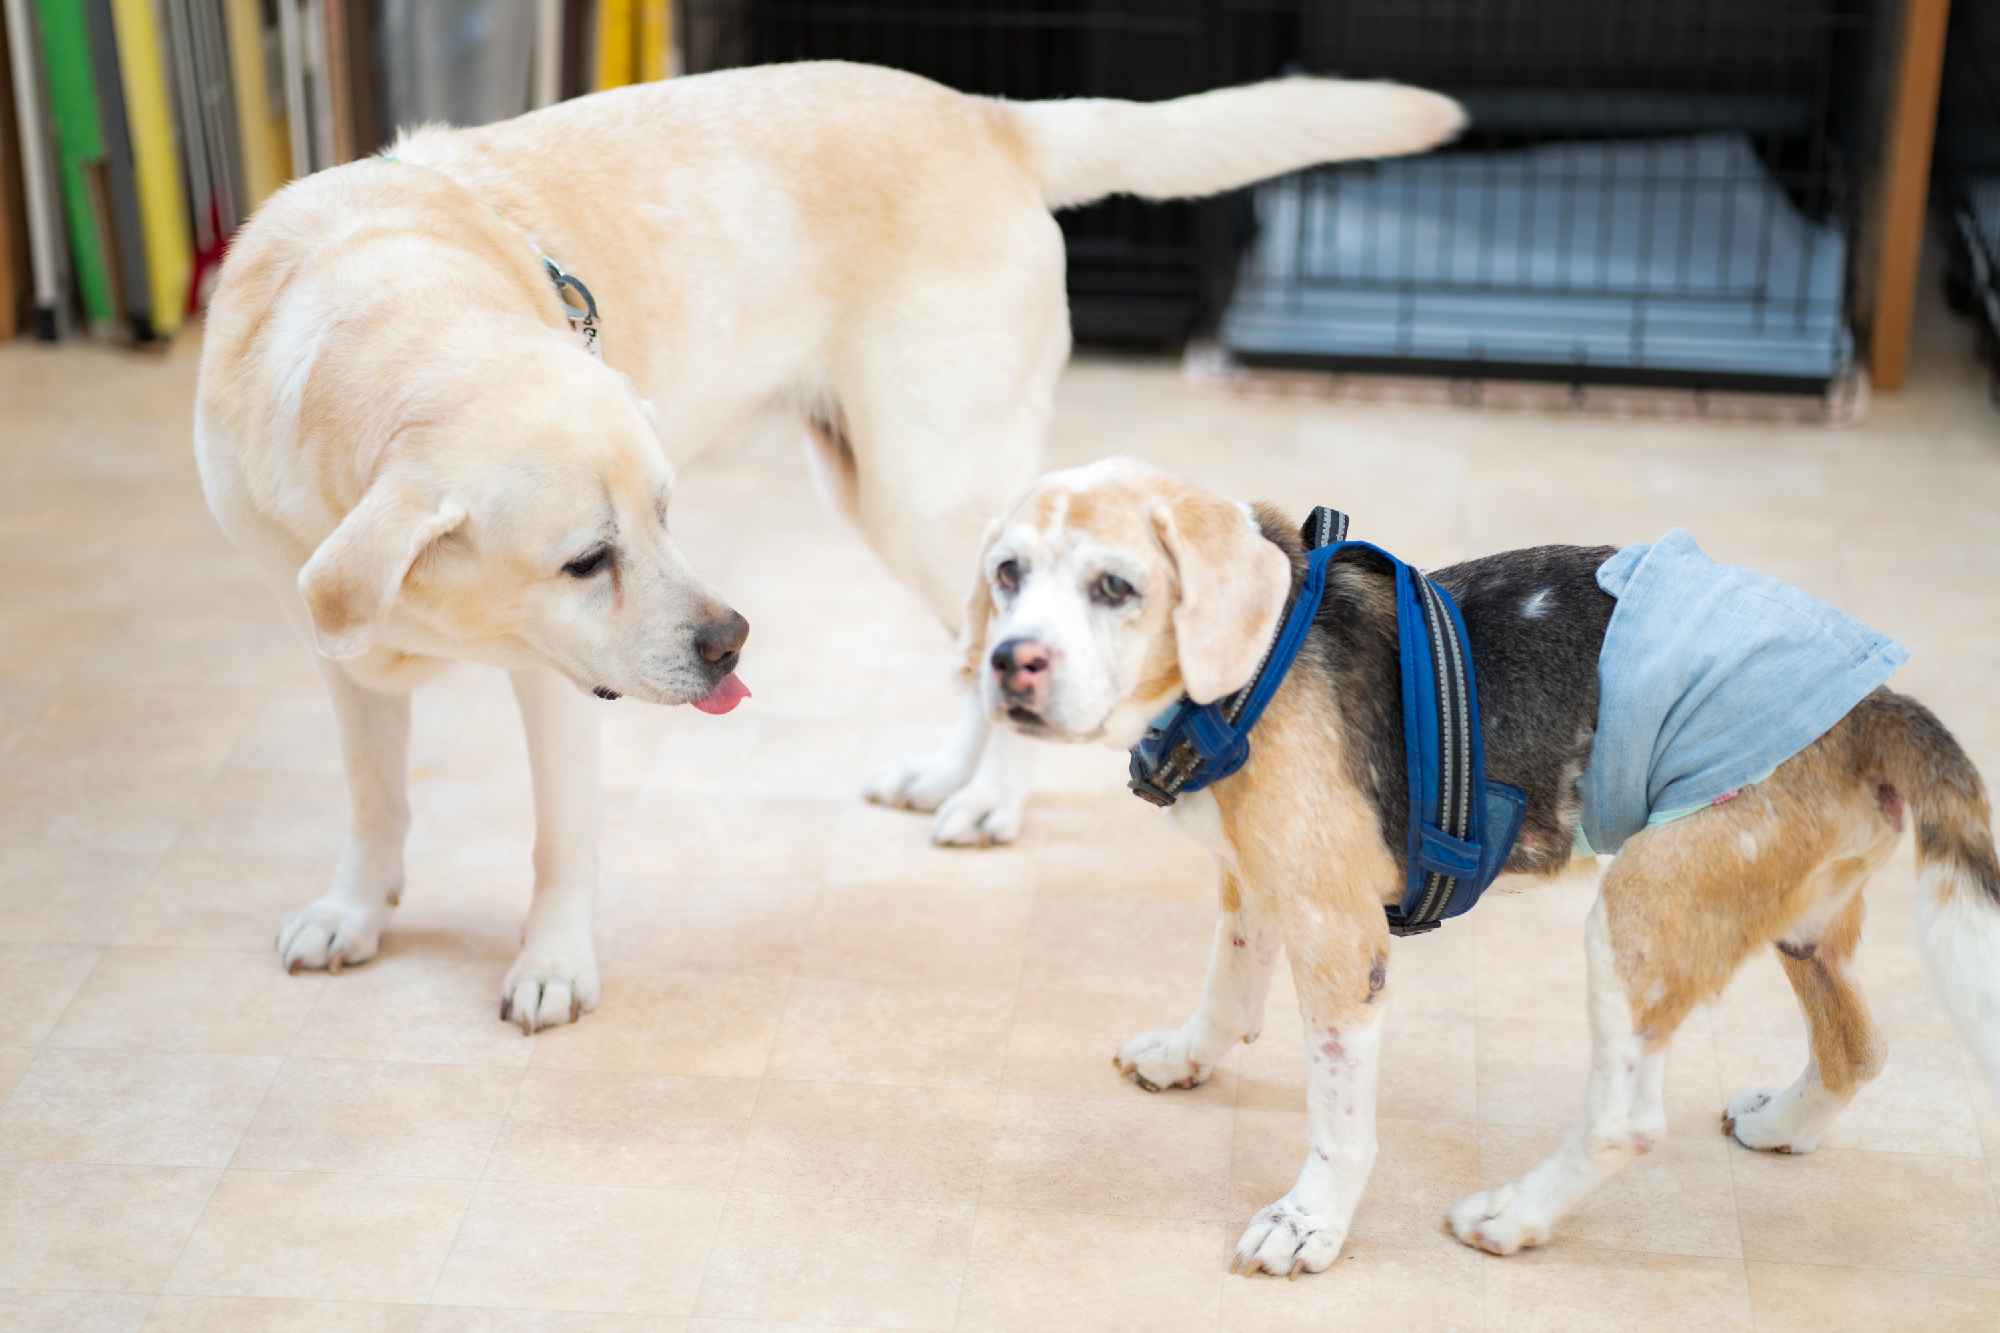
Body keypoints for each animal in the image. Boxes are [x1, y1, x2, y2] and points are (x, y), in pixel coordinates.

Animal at [194, 62, 1464, 1028]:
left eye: (664, 513)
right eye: (587, 559)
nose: (730, 640)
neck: (373, 321)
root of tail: (992, 114)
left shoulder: (554, 682)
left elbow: (559, 844)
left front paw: (550, 962)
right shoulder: (339, 655)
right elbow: (374, 801)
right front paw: (357, 910)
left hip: (920, 487)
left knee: (1011, 630)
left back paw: (989, 799)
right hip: (884, 495)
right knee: (984, 640)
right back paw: (947, 773)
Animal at [964, 456, 2000, 1272]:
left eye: (1115, 587)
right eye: (1008, 572)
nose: (1011, 663)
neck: (1244, 675)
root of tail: (1878, 705)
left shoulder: (1342, 945)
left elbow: (1338, 1124)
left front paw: (1310, 1223)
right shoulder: (1261, 884)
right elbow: (1225, 994)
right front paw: (1186, 1058)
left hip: (1635, 917)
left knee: (1626, 1120)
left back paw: (1517, 1215)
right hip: (1798, 924)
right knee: (1858, 1047)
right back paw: (1783, 1125)